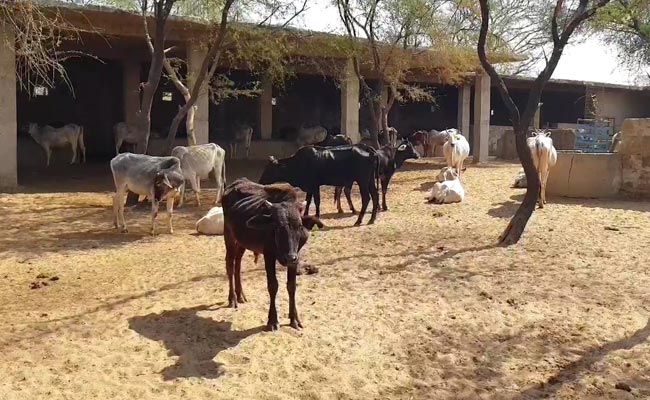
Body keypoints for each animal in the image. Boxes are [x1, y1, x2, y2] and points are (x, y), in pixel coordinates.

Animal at [222, 178, 322, 330]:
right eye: (277, 227)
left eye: (299, 226)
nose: (289, 258)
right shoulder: (268, 255)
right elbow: (273, 285)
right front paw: (273, 320)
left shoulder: (296, 257)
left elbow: (291, 286)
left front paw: (294, 318)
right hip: (229, 235)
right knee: (230, 264)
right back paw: (232, 298)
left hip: (242, 241)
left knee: (238, 264)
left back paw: (240, 295)